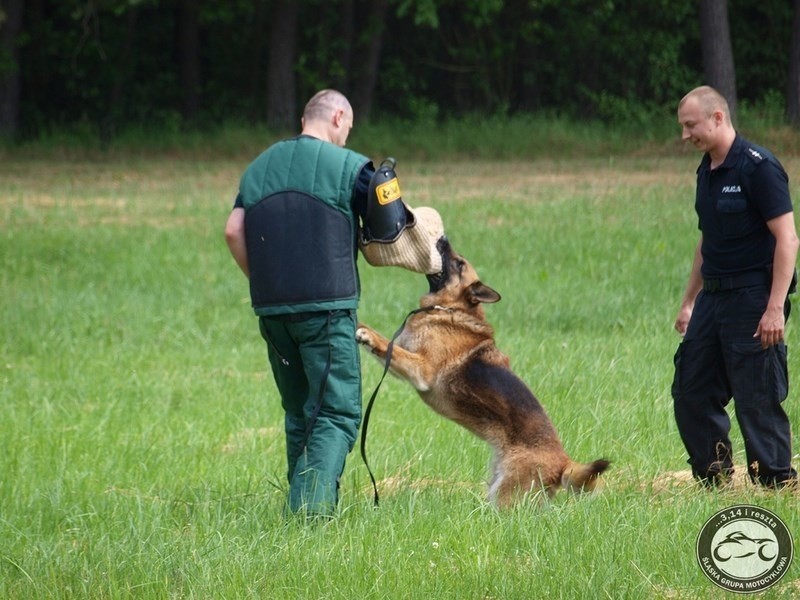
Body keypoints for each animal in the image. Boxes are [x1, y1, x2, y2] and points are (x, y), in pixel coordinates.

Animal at [354, 237, 608, 504]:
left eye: (460, 264)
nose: (443, 238)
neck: (450, 310)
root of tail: (564, 462)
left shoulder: (420, 369)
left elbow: (387, 343)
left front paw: (368, 334)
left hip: (506, 494)